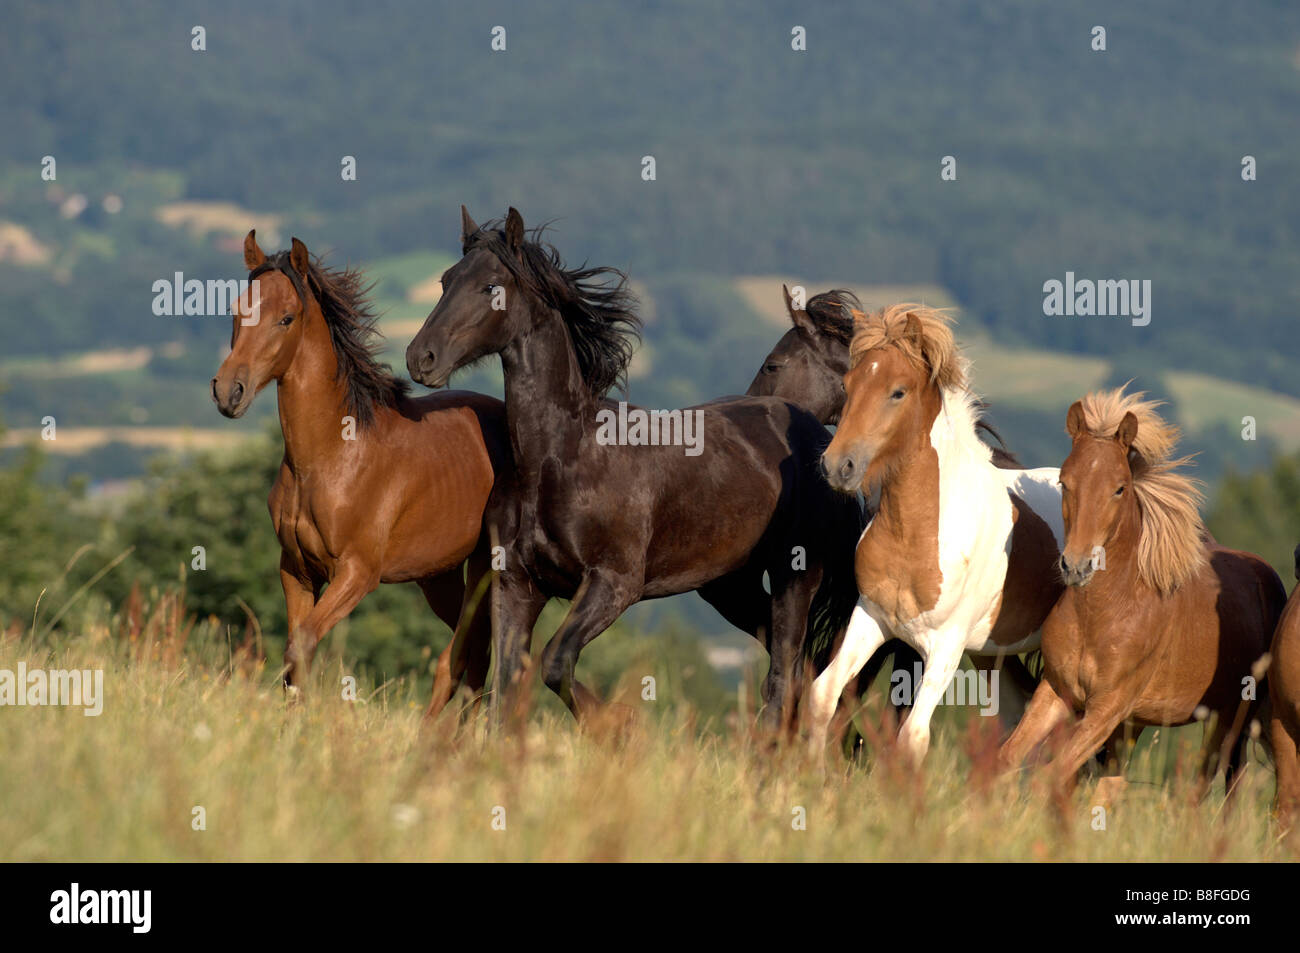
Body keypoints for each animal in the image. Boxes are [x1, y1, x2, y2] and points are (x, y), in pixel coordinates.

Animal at [209, 228, 506, 712]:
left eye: (287, 318)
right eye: (237, 309)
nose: (229, 391)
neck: (330, 458)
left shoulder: (356, 574)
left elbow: (303, 645)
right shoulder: (296, 570)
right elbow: (295, 653)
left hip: (484, 568)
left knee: (468, 653)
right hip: (438, 577)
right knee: (476, 655)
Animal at [400, 206, 857, 728]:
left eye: (490, 286)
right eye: (445, 280)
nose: (421, 357)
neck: (558, 460)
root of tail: (817, 434)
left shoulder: (614, 584)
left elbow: (555, 662)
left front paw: (617, 726)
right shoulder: (517, 584)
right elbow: (506, 685)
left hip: (794, 578)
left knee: (784, 676)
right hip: (730, 587)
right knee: (800, 673)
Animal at [800, 301, 1066, 764]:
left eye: (898, 391)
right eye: (848, 385)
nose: (838, 466)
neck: (922, 534)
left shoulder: (946, 646)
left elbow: (913, 737)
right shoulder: (871, 618)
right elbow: (823, 695)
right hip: (994, 654)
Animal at [993, 387, 1289, 800]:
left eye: (1119, 488)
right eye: (1065, 483)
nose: (1077, 566)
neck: (1103, 615)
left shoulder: (1108, 708)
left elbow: (1052, 774)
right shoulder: (1057, 691)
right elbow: (1009, 758)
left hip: (1228, 718)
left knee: (1211, 787)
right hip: (1143, 723)